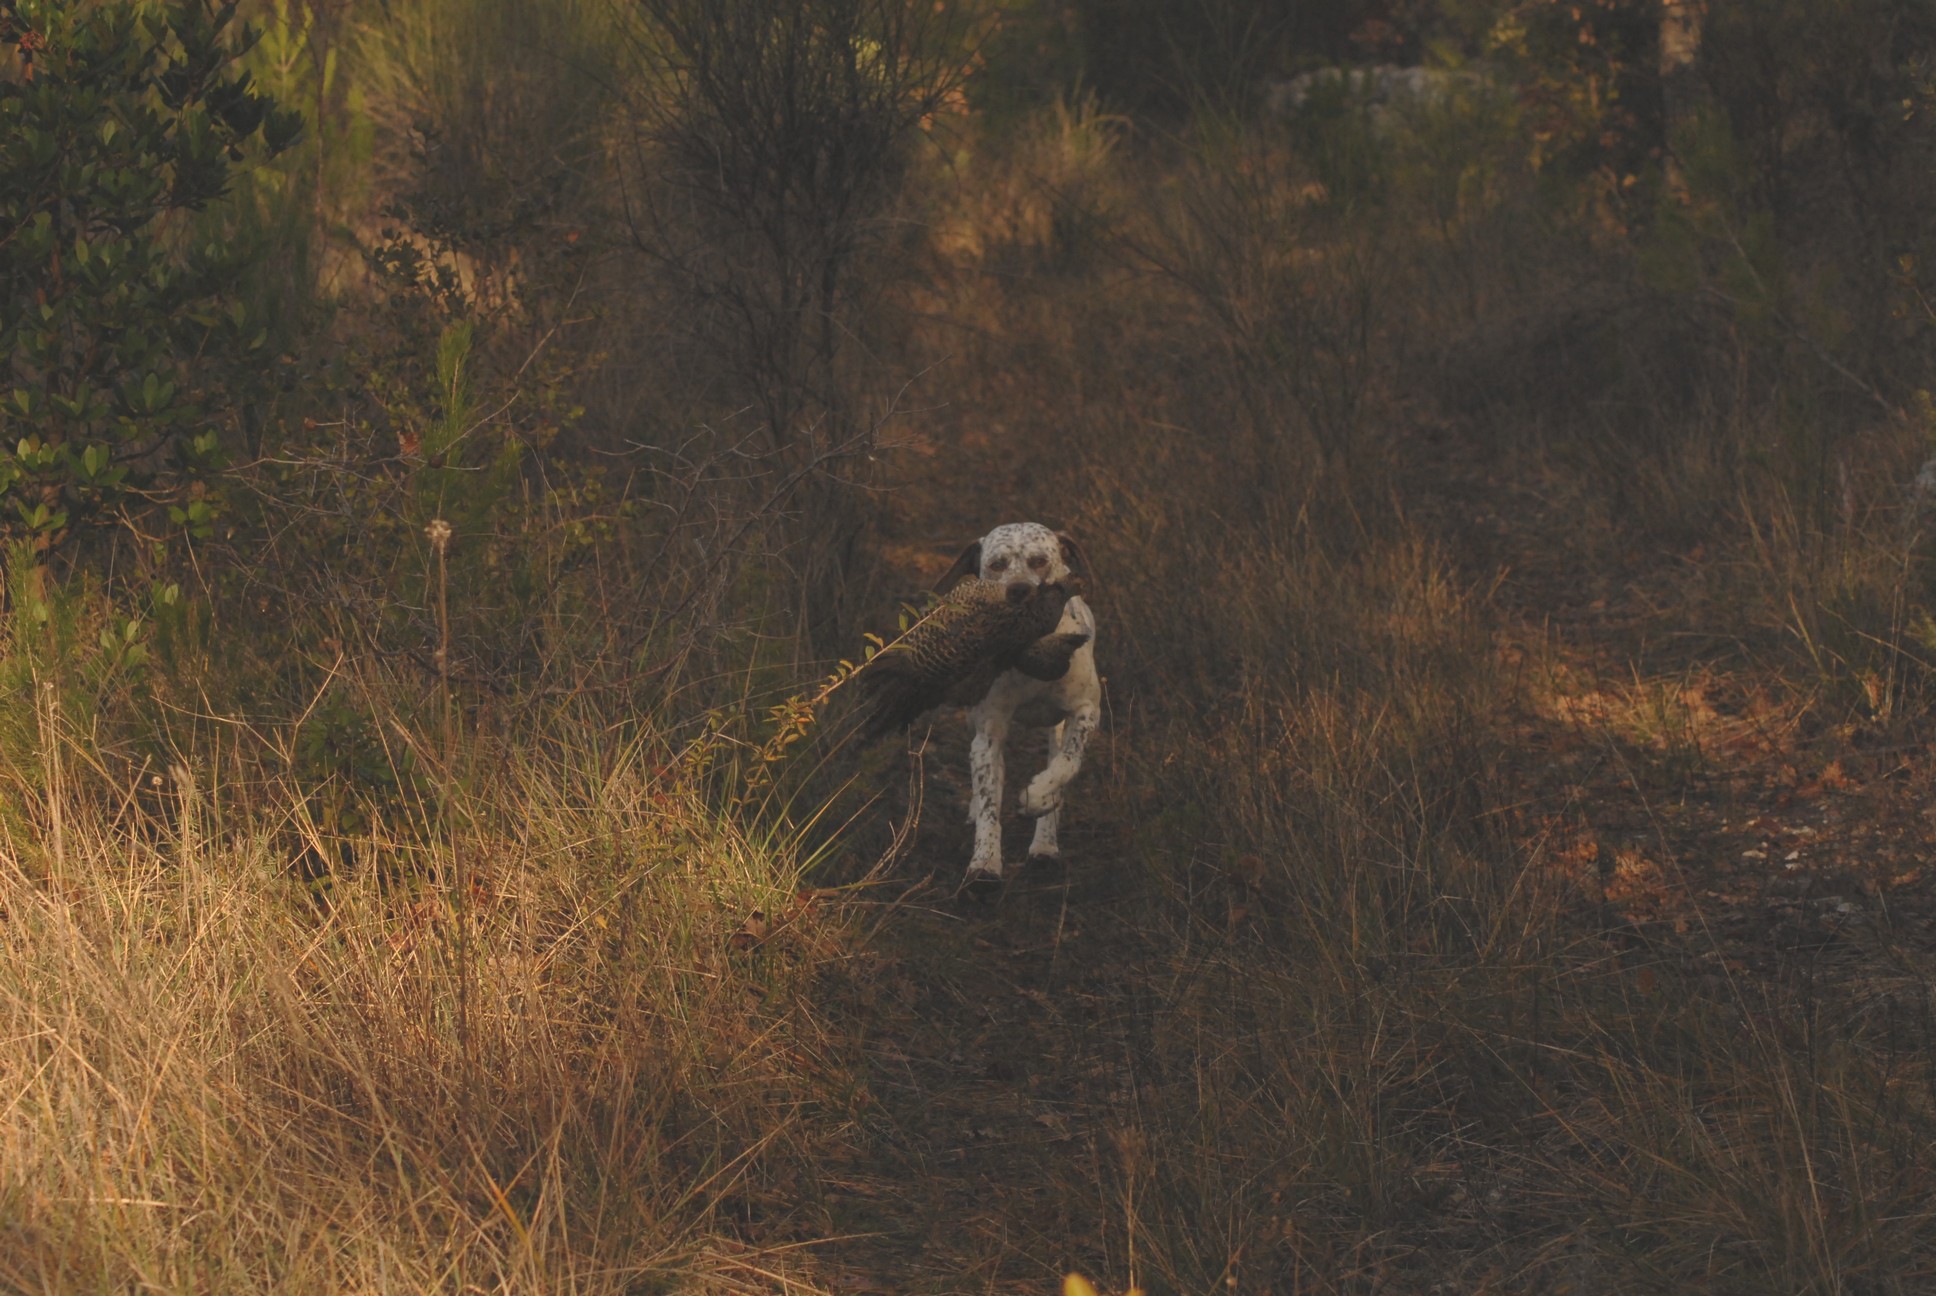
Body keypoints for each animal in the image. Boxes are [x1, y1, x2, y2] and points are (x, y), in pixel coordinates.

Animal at [929, 519, 1099, 894]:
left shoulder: (1085, 712)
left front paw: (1039, 797)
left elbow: (1067, 763)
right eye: (997, 565)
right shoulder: (990, 730)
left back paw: (1045, 842)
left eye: (1039, 561)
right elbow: (990, 803)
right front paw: (985, 864)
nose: (1019, 589)